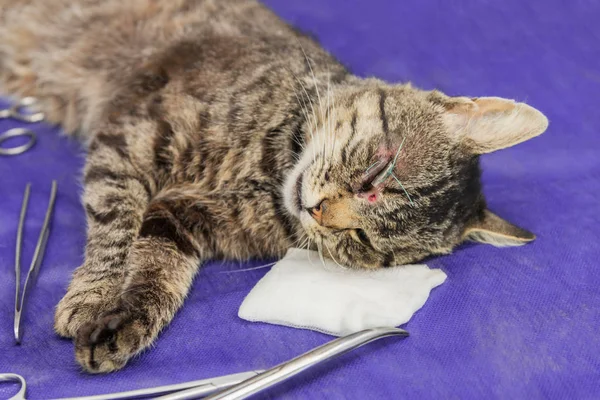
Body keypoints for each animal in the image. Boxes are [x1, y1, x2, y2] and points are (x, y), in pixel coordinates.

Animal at [0, 0, 548, 372]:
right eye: (375, 175)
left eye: (365, 242)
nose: (320, 211)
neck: (267, 168)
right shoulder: (133, 135)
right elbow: (116, 223)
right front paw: (94, 296)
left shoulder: (186, 215)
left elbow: (158, 266)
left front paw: (123, 322)